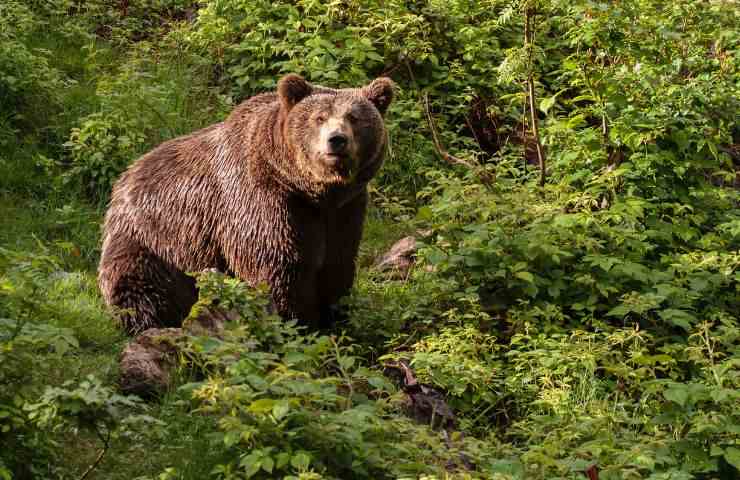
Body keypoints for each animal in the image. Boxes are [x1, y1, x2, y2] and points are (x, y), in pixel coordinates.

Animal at [101, 74, 396, 334]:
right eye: (319, 117)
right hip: (154, 240)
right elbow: (278, 266)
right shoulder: (263, 200)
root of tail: (125, 176)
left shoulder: (344, 210)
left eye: (354, 118)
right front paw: (298, 323)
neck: (311, 190)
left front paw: (335, 320)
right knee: (139, 286)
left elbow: (337, 264)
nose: (336, 140)